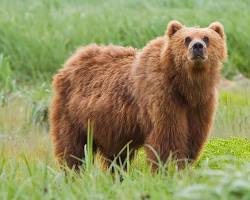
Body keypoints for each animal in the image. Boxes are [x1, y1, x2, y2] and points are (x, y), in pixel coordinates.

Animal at [49, 19, 228, 170]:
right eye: (187, 38)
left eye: (206, 38)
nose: (197, 46)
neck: (185, 85)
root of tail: (71, 60)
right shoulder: (162, 97)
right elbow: (167, 138)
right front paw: (167, 169)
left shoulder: (200, 104)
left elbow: (193, 138)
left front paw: (183, 166)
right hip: (73, 113)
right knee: (73, 148)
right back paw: (73, 172)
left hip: (111, 127)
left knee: (117, 157)